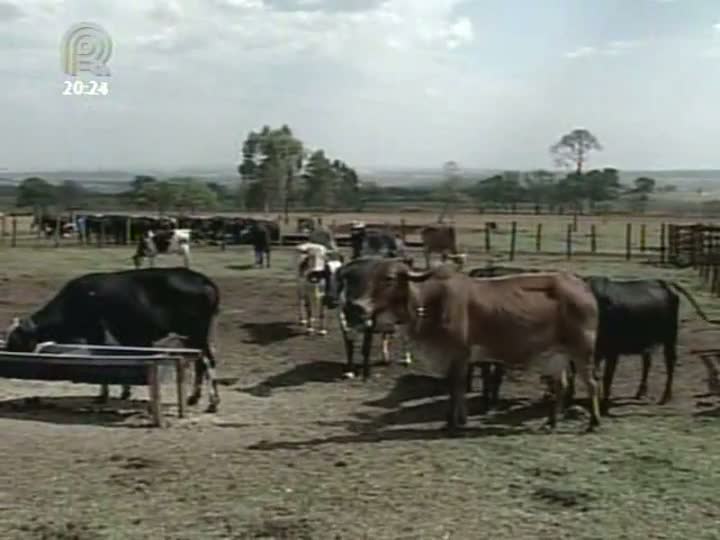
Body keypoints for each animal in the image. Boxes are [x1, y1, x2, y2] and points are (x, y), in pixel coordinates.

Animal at [2, 268, 221, 412]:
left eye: (15, 340)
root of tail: (203, 280)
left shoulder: (96, 334)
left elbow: (101, 361)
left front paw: (103, 395)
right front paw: (124, 391)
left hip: (196, 332)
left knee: (208, 361)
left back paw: (212, 402)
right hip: (191, 336)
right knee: (201, 361)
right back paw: (194, 398)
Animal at [358, 262, 600, 434]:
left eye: (389, 278)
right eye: (369, 276)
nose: (360, 306)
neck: (431, 303)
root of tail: (583, 286)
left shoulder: (459, 354)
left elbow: (456, 388)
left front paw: (455, 422)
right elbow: (454, 388)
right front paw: (455, 420)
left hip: (582, 350)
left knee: (592, 384)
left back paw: (593, 423)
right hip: (556, 355)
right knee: (561, 385)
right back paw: (551, 422)